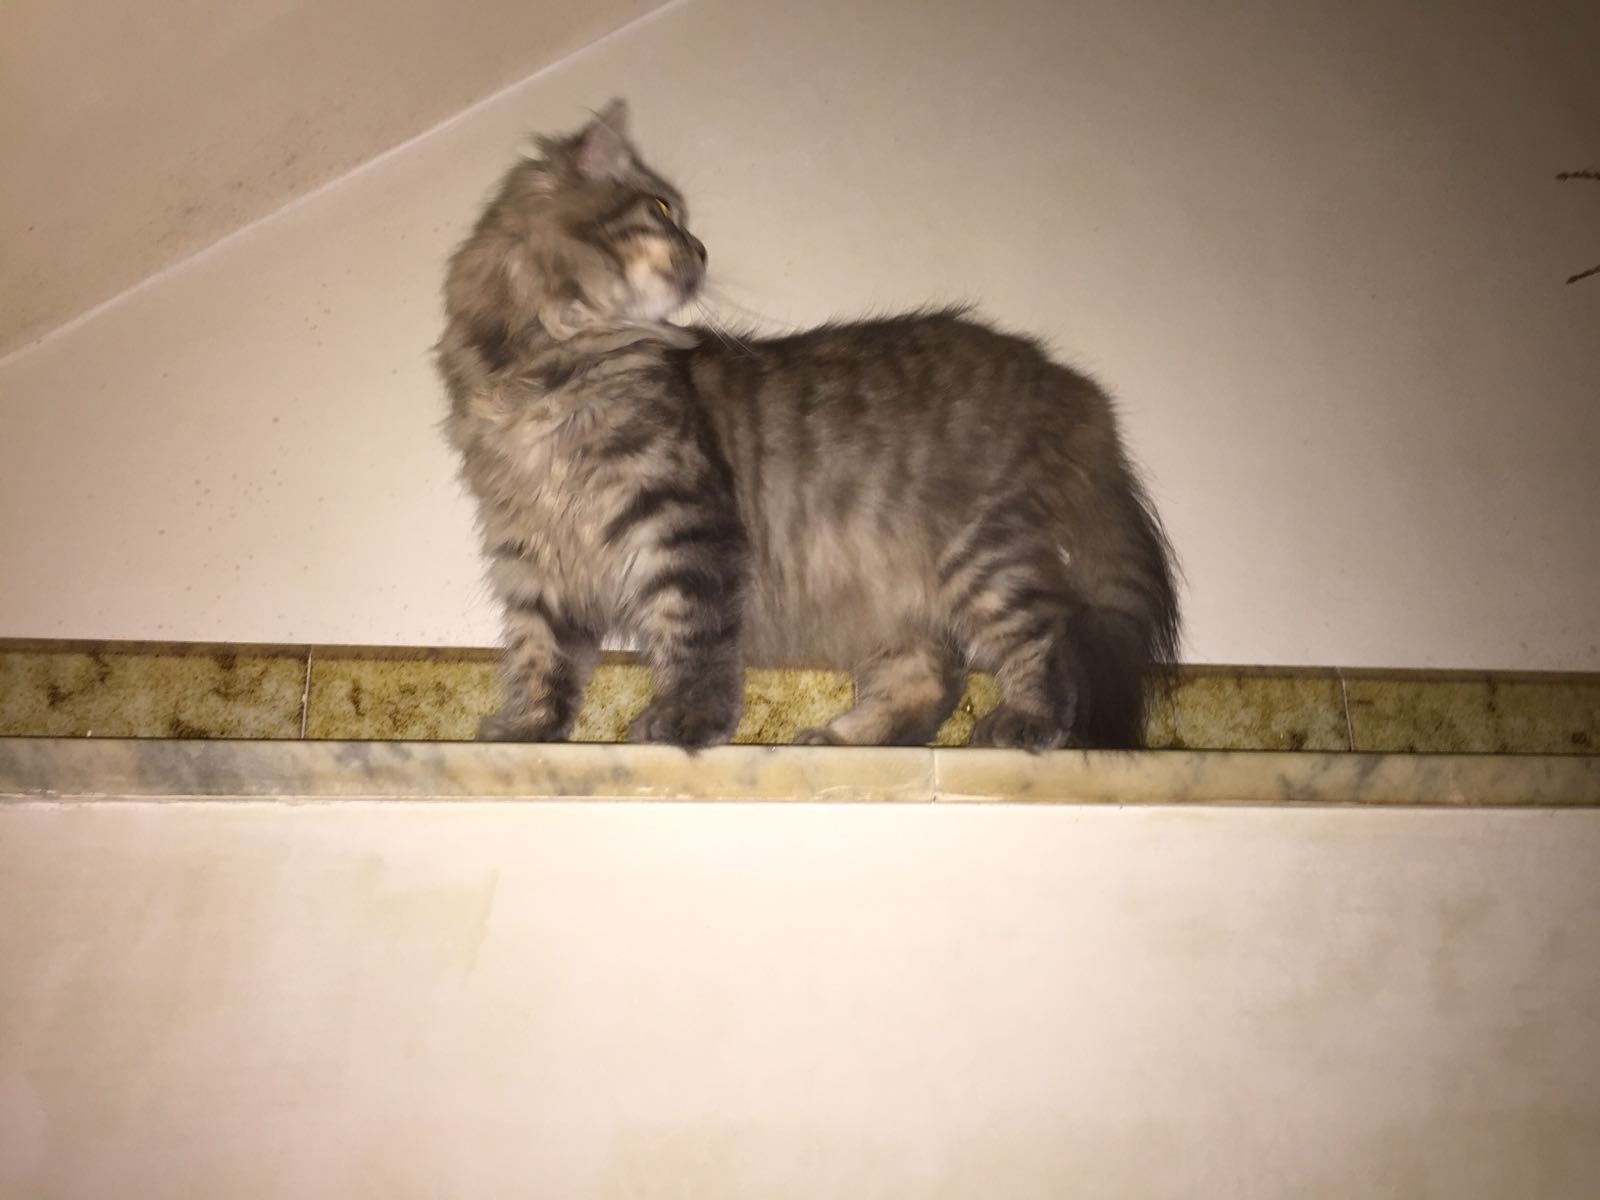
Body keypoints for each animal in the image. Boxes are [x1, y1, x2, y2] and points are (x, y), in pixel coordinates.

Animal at [436, 99, 1179, 750]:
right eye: (661, 210)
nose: (702, 250)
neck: (546, 371)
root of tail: (1055, 372)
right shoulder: (533, 559)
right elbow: (542, 658)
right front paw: (527, 730)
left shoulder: (680, 518)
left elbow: (695, 635)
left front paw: (687, 721)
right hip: (898, 590)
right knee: (931, 677)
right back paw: (847, 739)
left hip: (980, 552)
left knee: (1044, 637)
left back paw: (1023, 722)